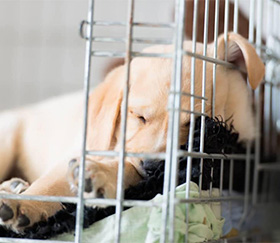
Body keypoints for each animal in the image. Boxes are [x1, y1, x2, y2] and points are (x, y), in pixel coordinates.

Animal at [0, 32, 264, 232]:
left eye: (193, 123)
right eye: (139, 116)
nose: (152, 166)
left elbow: (128, 170)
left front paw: (98, 177)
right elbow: (51, 185)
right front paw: (23, 204)